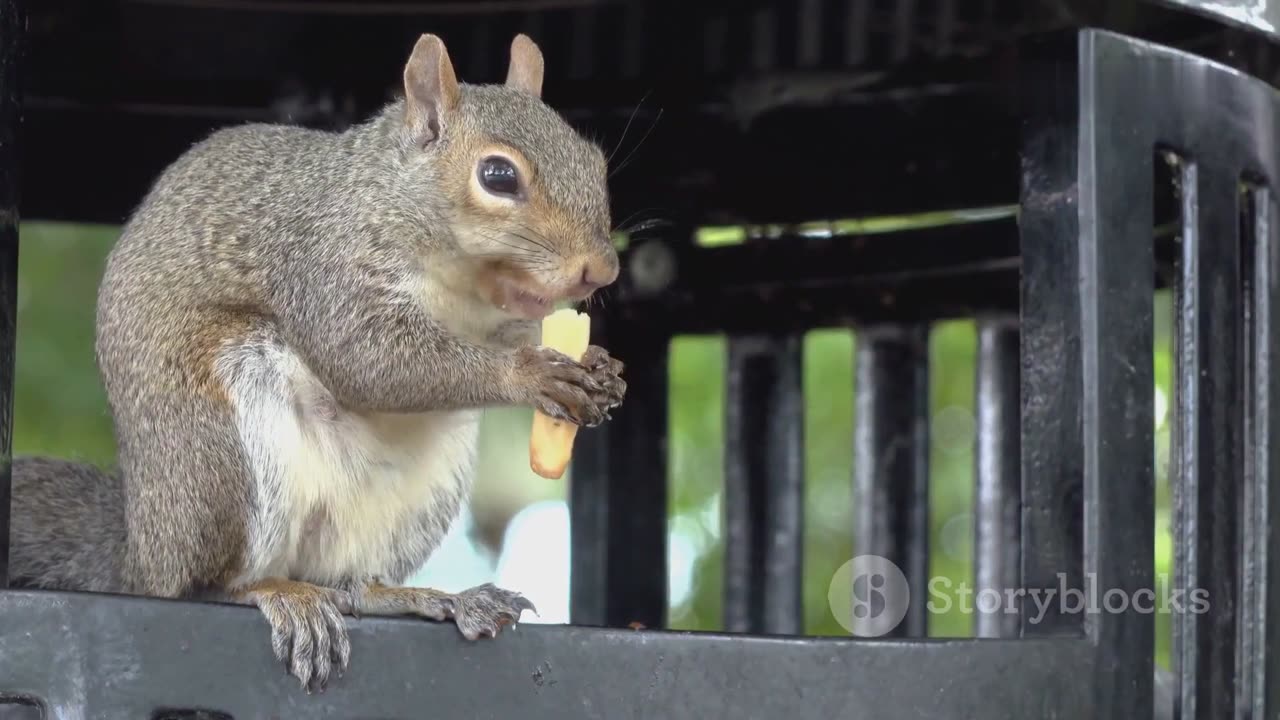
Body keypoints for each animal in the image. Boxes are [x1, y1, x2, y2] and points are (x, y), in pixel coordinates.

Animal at [7, 32, 627, 691]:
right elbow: (365, 358)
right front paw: (530, 373)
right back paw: (279, 595)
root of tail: (142, 550)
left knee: (353, 587)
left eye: (593, 161)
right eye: (498, 175)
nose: (601, 269)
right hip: (223, 452)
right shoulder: (324, 267)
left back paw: (432, 598)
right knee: (208, 585)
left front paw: (602, 369)